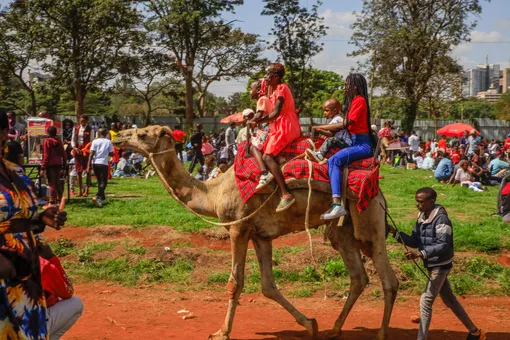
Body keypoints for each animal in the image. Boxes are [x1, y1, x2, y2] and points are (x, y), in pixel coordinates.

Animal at [114, 126, 398, 338]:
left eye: (143, 134)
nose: (118, 137)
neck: (214, 192)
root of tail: (380, 193)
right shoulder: (260, 235)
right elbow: (268, 286)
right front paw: (310, 324)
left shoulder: (238, 227)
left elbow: (235, 282)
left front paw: (221, 332)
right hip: (345, 230)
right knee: (358, 277)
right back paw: (336, 329)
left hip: (369, 220)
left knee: (388, 279)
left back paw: (381, 333)